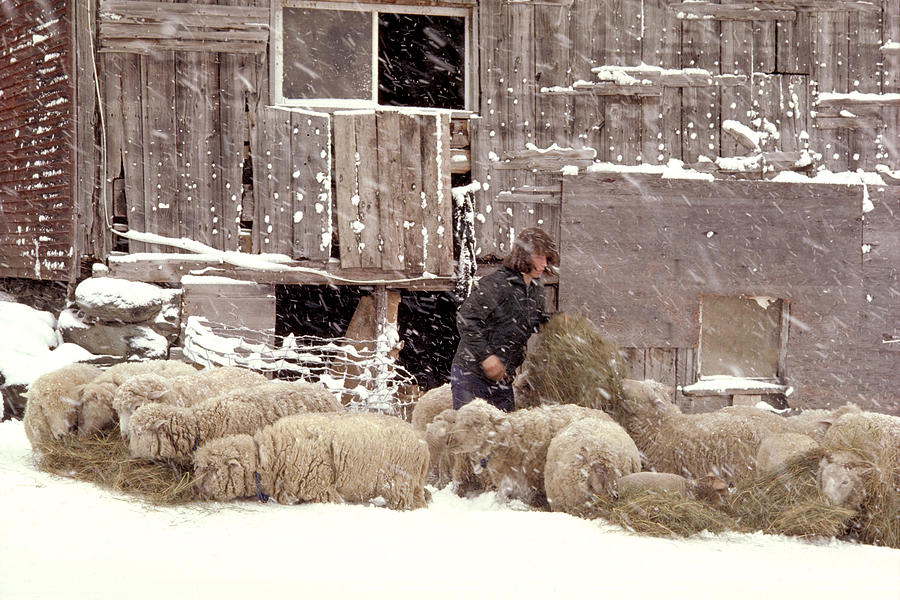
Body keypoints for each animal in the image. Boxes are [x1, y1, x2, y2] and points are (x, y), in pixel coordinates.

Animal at [192, 414, 428, 508]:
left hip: (398, 483)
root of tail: (423, 444)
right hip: (411, 484)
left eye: (210, 468)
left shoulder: (321, 489)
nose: (194, 489)